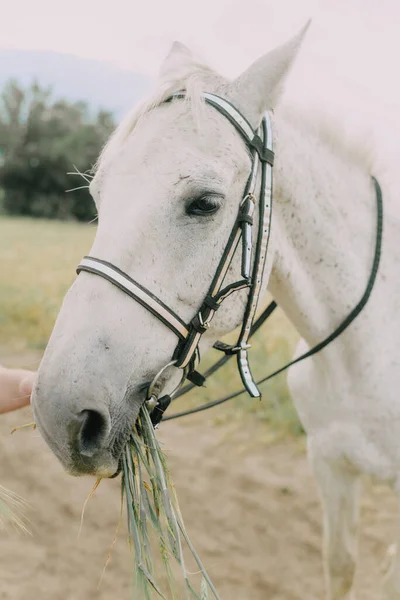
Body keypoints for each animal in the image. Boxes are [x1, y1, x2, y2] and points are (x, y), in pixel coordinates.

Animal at [32, 24, 398, 600]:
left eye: (205, 203)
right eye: (98, 194)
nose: (57, 415)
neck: (363, 352)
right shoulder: (331, 468)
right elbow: (340, 567)